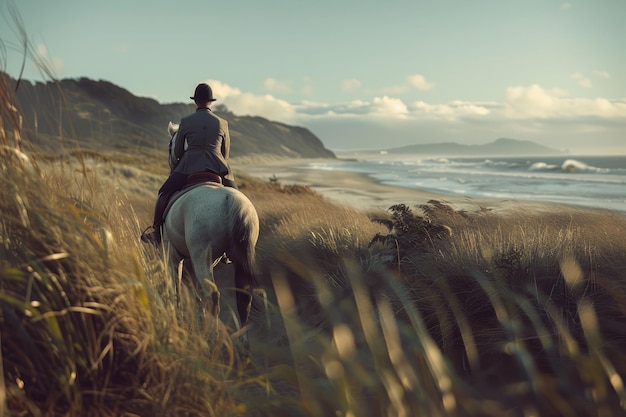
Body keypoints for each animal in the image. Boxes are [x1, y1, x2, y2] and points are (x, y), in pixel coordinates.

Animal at [163, 122, 258, 326]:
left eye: (170, 145)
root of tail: (231, 201)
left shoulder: (172, 253)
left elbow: (176, 285)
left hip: (200, 254)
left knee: (212, 294)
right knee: (243, 299)